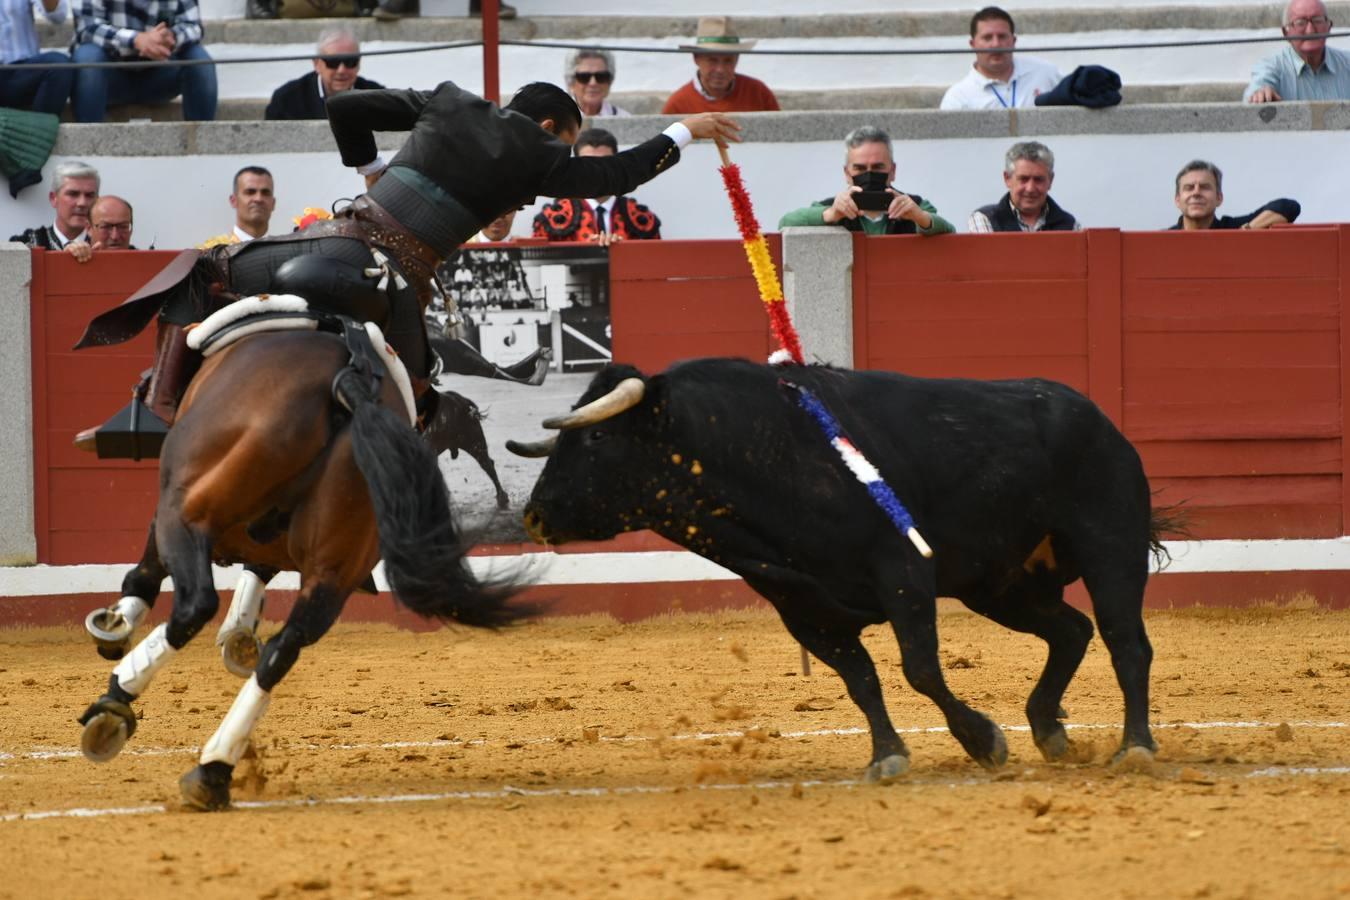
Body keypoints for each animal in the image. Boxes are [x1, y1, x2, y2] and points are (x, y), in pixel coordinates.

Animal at [76, 322, 531, 809]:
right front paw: (239, 635)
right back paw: (213, 766)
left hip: (189, 507)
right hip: (336, 568)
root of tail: (348, 378)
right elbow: (256, 573)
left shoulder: (178, 508)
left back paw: (114, 708)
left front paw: (115, 625)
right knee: (283, 649)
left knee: (194, 604)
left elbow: (145, 571)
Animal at [510, 358, 1177, 782]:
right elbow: (862, 681)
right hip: (1001, 586)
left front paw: (983, 741)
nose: (535, 514)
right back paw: (1050, 730)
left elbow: (919, 670)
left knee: (1126, 642)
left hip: (1109, 546)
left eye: (595, 442)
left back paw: (1135, 748)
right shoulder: (805, 612)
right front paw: (887, 756)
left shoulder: (904, 573)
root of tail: (1098, 419)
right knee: (1071, 631)